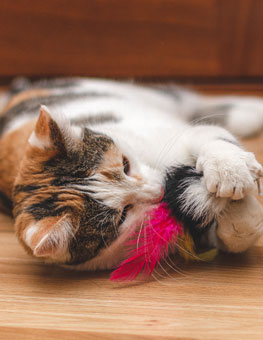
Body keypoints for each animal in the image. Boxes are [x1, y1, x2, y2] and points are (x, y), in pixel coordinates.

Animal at [0, 77, 263, 270]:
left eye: (125, 164)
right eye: (123, 216)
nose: (161, 190)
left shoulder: (174, 135)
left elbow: (209, 135)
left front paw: (230, 170)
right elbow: (237, 234)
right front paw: (240, 212)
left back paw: (252, 110)